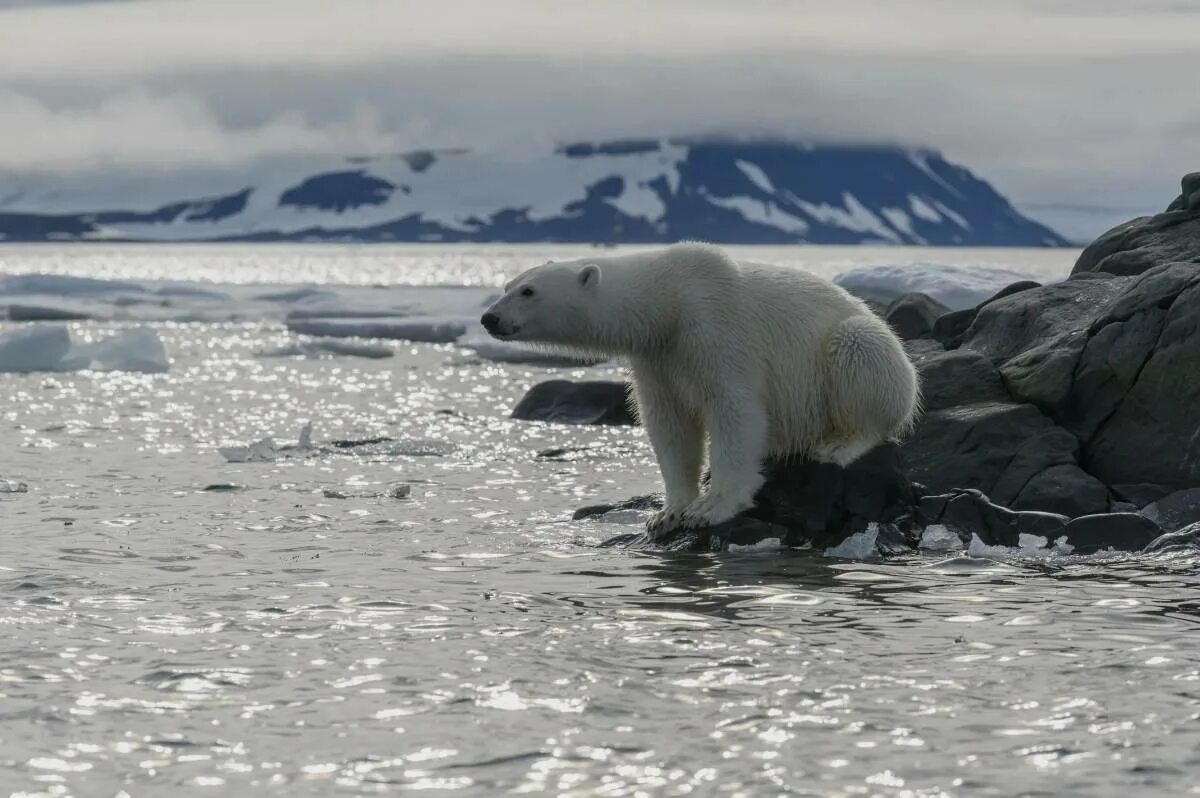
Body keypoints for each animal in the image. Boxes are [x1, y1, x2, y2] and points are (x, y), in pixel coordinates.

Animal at [477, 242, 916, 537]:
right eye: (508, 283)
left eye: (529, 291)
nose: (489, 318)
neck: (669, 300)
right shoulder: (658, 358)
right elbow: (670, 426)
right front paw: (666, 514)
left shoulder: (716, 329)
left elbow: (735, 410)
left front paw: (710, 508)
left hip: (857, 350)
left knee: (859, 353)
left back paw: (839, 444)